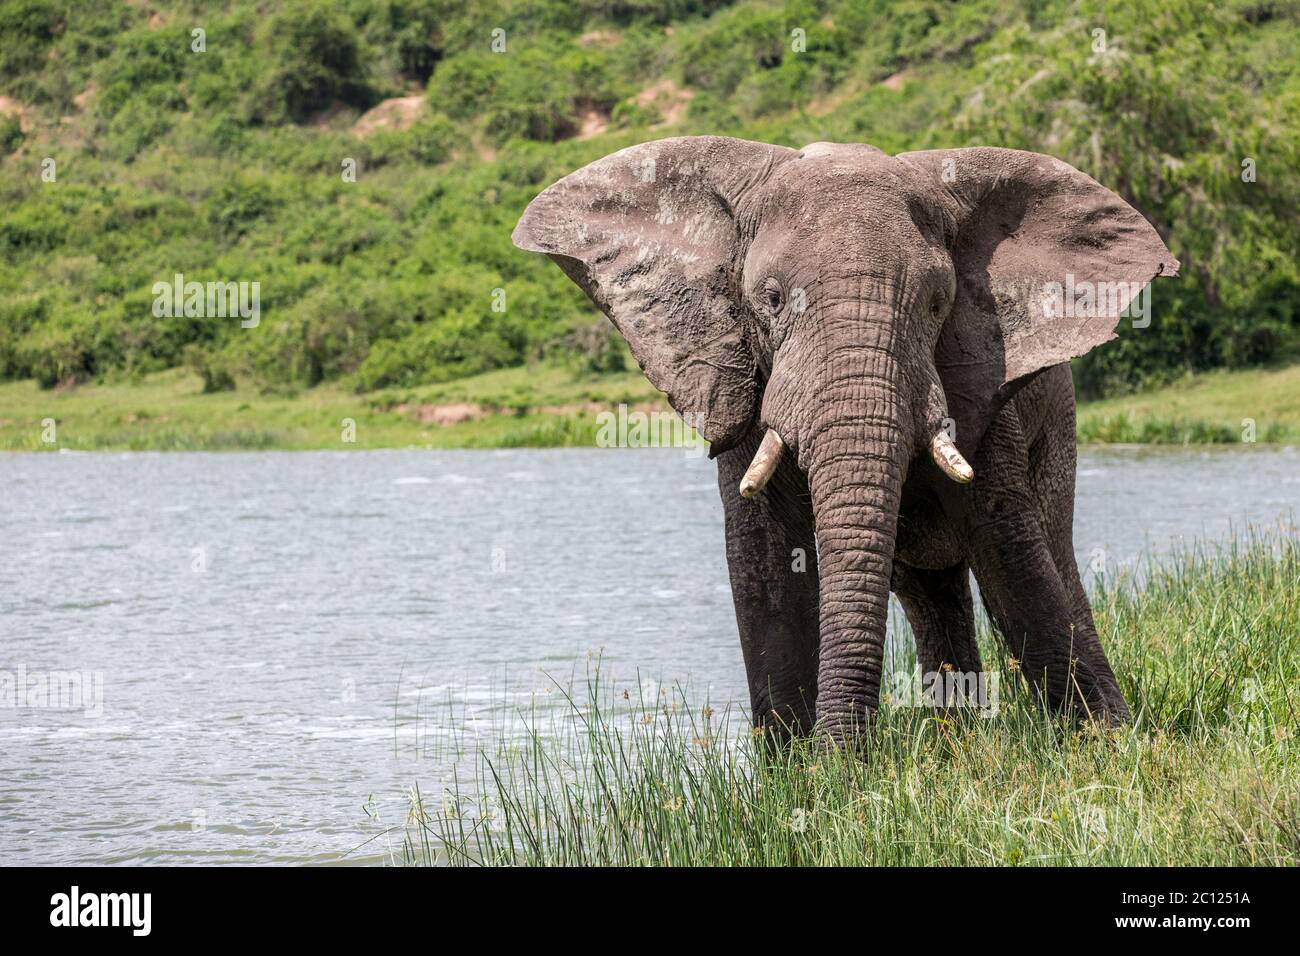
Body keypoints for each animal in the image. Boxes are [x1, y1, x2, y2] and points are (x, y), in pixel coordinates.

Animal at [509, 138, 1180, 743]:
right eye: (771, 300)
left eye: (938, 303)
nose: (847, 754)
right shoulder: (743, 383)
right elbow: (764, 563)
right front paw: (797, 782)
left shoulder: (980, 382)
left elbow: (1011, 549)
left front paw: (1103, 745)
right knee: (931, 590)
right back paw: (954, 738)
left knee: (1053, 551)